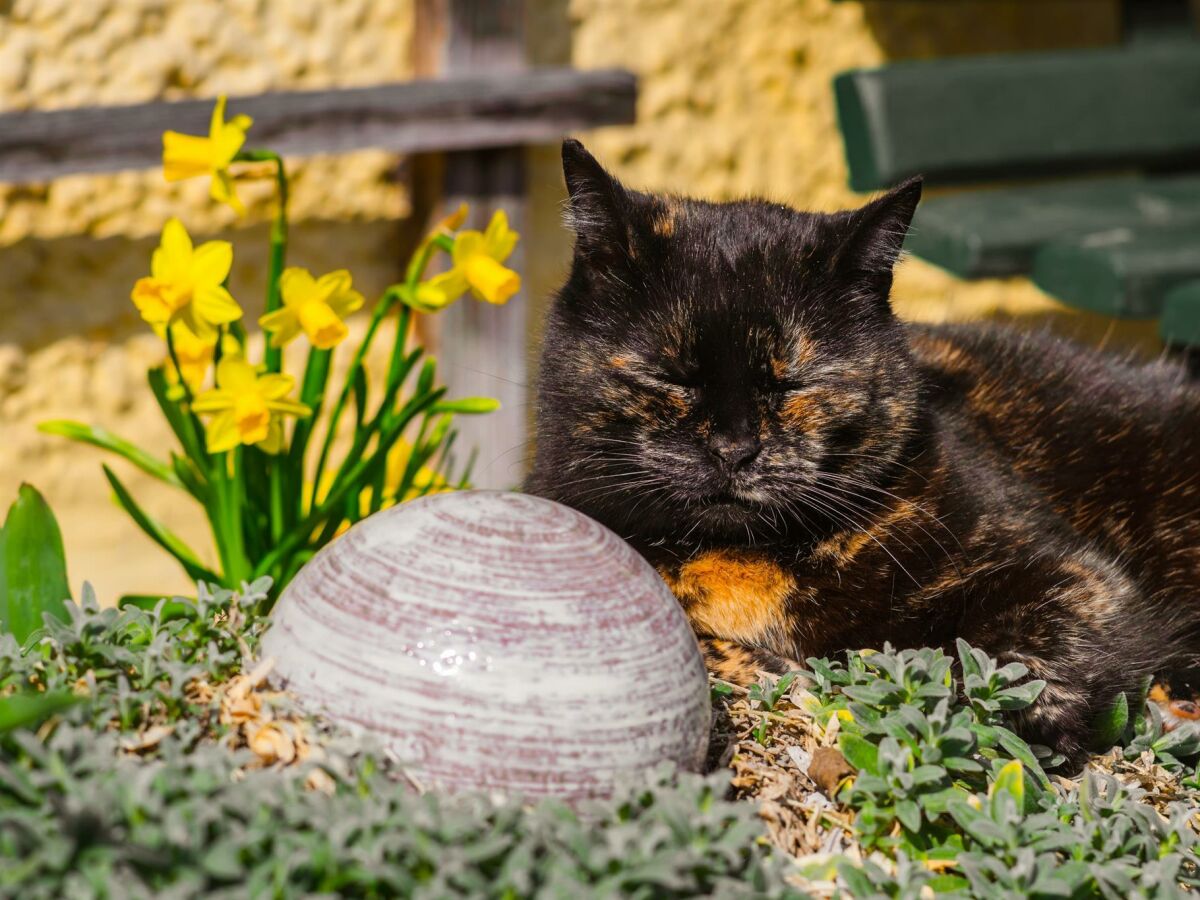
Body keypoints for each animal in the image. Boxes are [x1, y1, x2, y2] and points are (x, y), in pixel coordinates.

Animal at [528, 139, 1200, 768]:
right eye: (673, 377)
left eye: (793, 383)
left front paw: (1019, 704)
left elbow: (1044, 621)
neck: (745, 558)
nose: (734, 449)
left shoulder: (1072, 569)